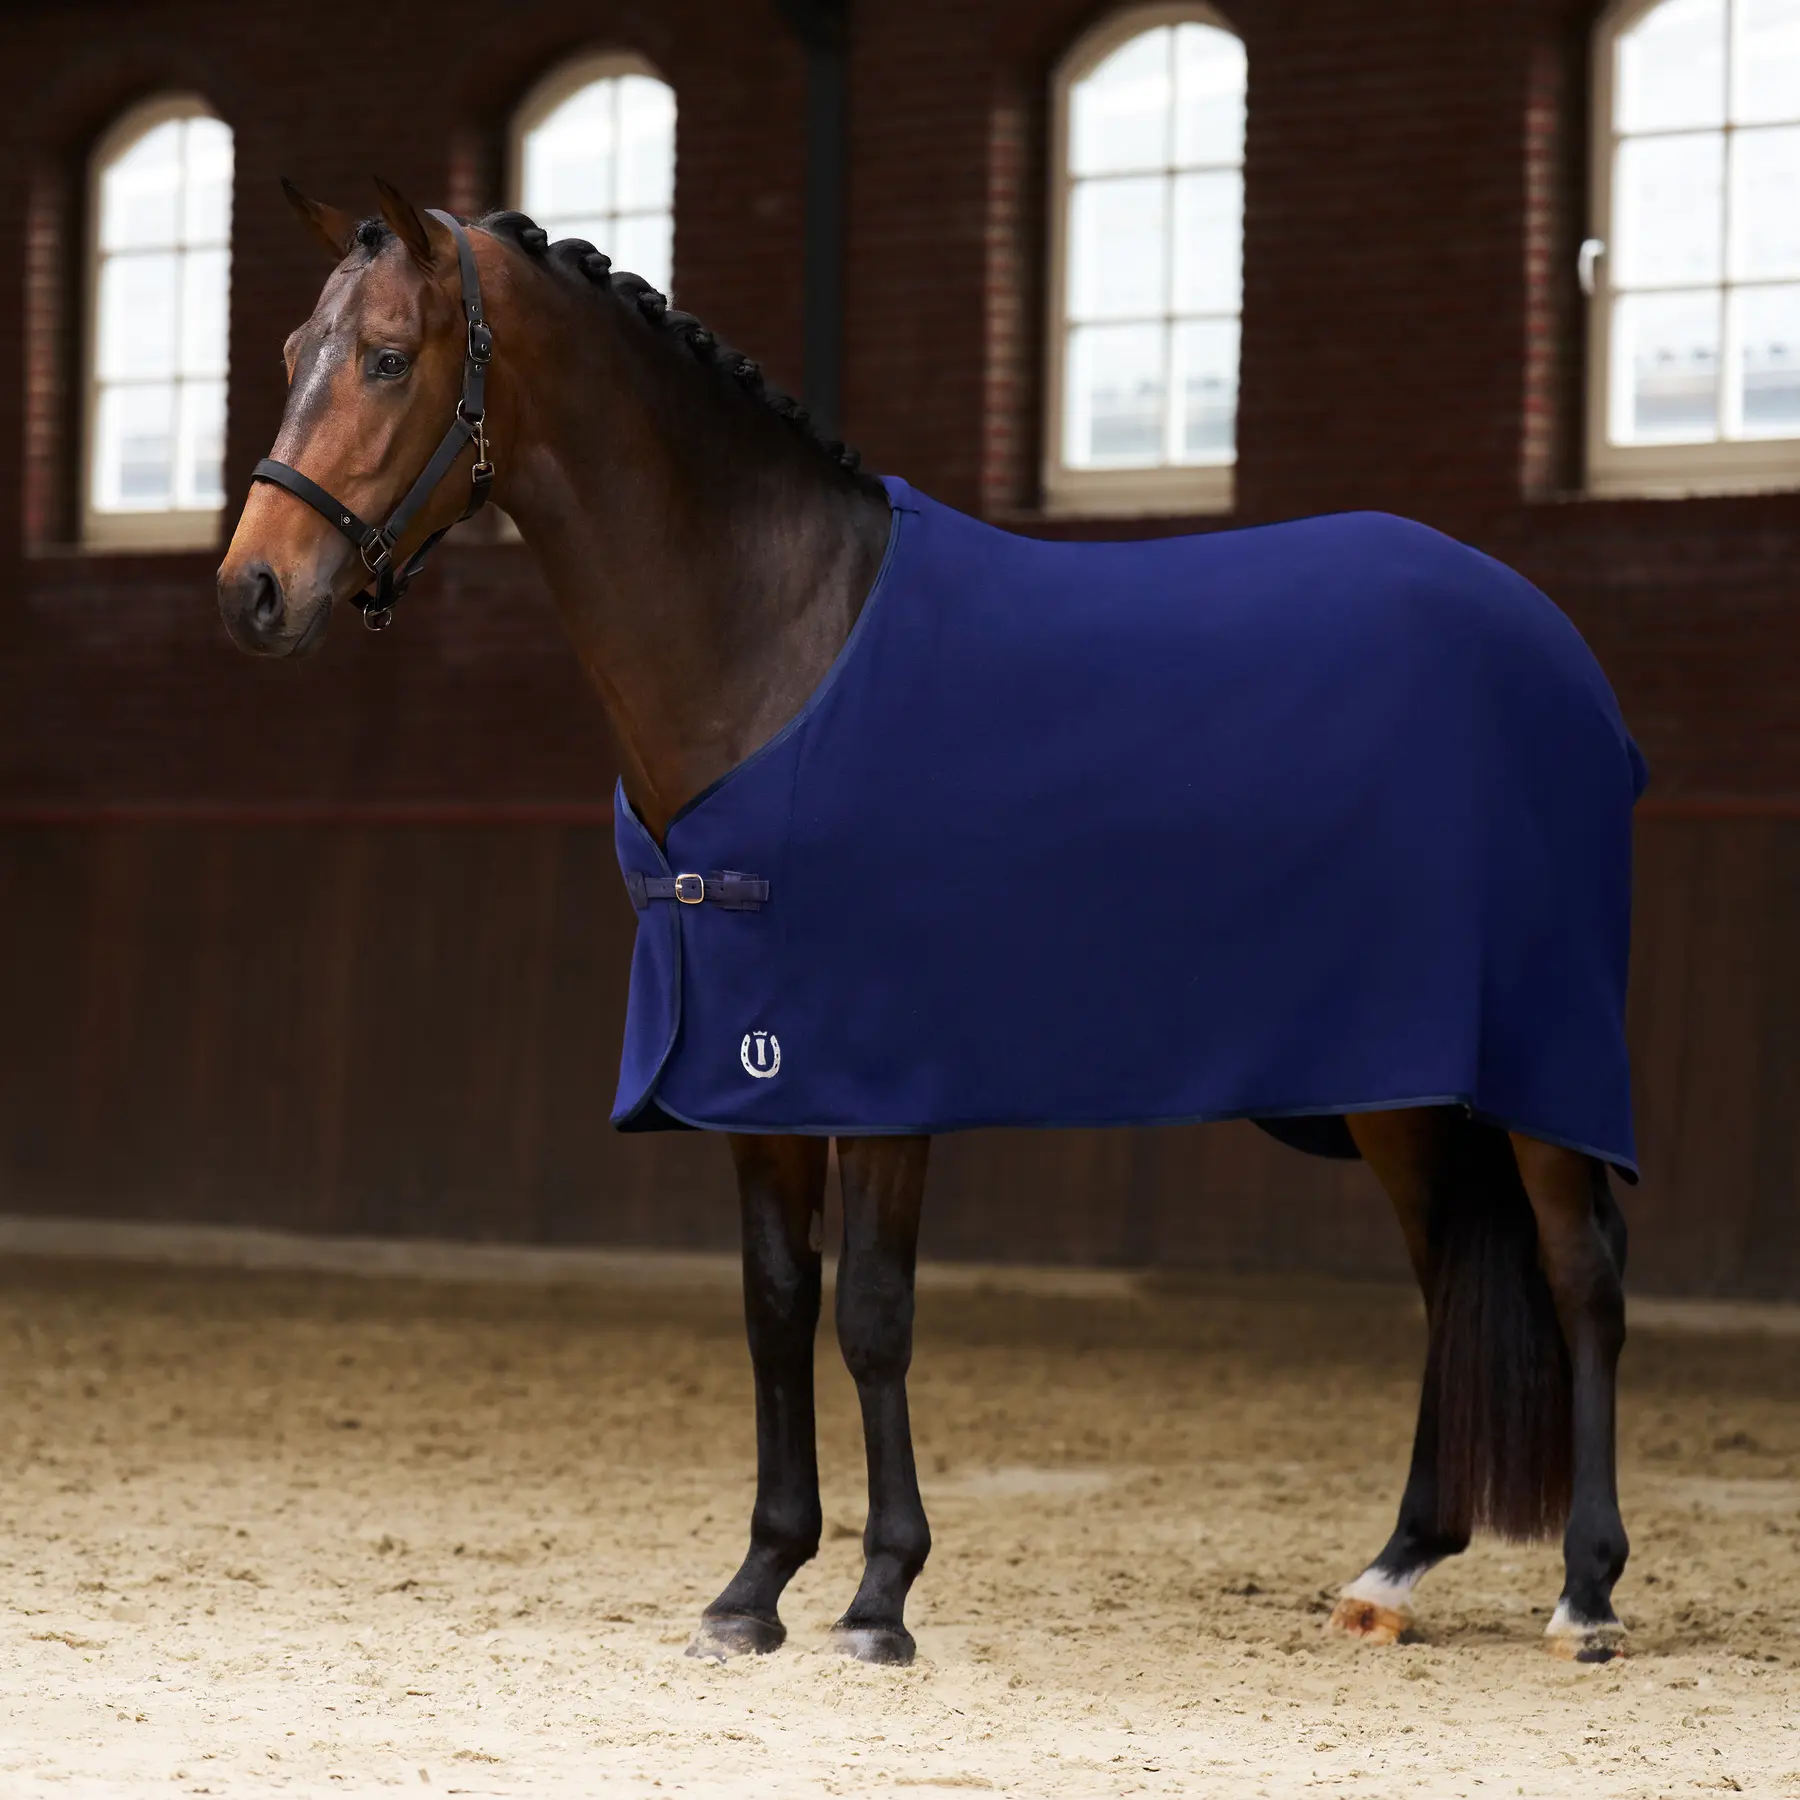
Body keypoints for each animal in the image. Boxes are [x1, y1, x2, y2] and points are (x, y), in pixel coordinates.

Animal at [218, 181, 1636, 1667]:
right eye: (290, 353)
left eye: (387, 359)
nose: (252, 589)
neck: (777, 635)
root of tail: (1551, 648)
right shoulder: (758, 1073)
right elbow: (776, 1308)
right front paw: (756, 1586)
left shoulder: (879, 1075)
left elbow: (874, 1317)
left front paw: (880, 1597)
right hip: (1402, 1091)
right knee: (1446, 1278)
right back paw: (1397, 1569)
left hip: (1535, 1072)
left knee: (1584, 1274)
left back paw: (1586, 1592)